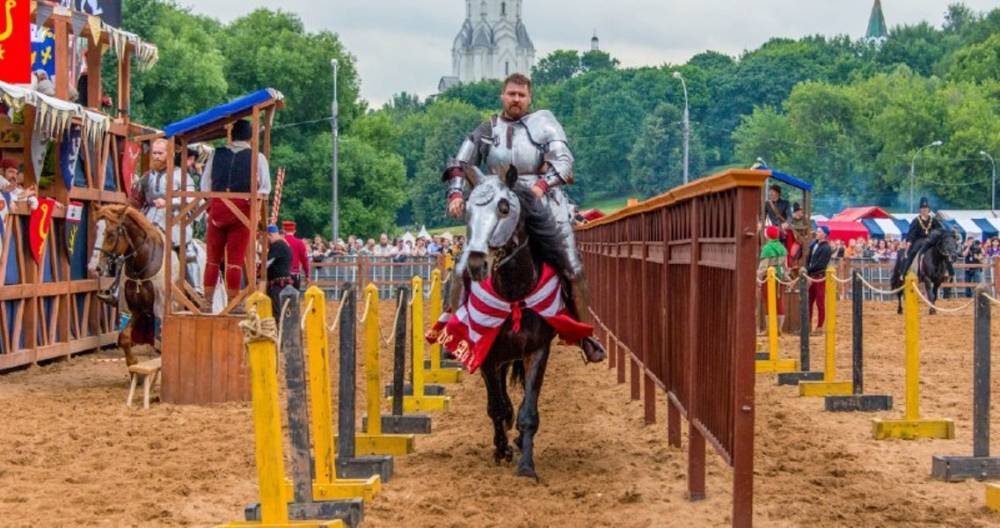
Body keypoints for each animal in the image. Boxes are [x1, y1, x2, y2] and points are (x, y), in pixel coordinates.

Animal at [88, 204, 174, 366]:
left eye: (111, 234)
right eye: (95, 230)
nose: (93, 267)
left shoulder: (160, 310)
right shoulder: (136, 308)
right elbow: (124, 337)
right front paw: (132, 361)